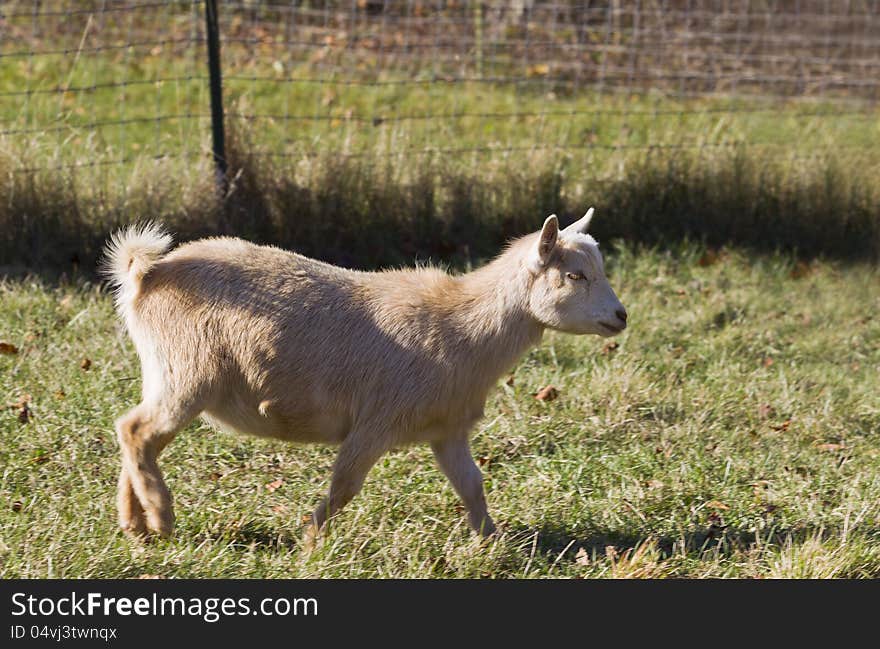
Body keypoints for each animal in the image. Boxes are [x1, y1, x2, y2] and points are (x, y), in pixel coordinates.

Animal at [103, 211, 624, 540]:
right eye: (575, 275)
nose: (621, 316)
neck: (463, 325)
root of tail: (146, 274)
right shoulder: (377, 422)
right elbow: (345, 486)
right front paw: (310, 541)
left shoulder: (448, 430)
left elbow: (472, 487)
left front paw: (493, 543)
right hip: (187, 372)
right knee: (135, 430)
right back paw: (160, 516)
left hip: (168, 374)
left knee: (138, 435)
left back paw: (135, 523)